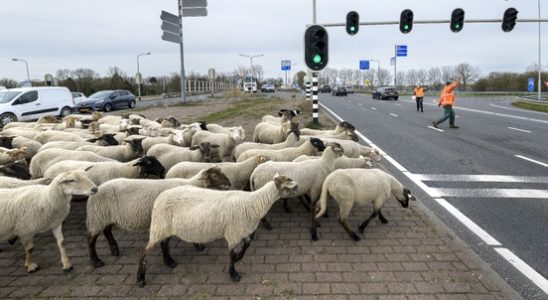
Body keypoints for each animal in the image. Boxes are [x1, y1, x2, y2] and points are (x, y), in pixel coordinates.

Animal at [85, 166, 231, 268]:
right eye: (214, 175)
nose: (229, 184)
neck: (193, 185)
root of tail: (97, 189)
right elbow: (165, 243)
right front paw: (170, 261)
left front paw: (198, 245)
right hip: (97, 216)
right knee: (91, 240)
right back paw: (96, 261)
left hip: (105, 216)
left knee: (107, 231)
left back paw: (114, 250)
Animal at [136, 171, 300, 286]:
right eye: (289, 184)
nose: (299, 189)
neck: (254, 202)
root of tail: (160, 197)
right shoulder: (233, 233)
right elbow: (231, 256)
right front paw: (233, 274)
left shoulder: (242, 230)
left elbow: (247, 244)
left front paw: (239, 257)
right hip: (159, 226)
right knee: (144, 251)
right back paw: (141, 279)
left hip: (166, 227)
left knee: (164, 244)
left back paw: (169, 262)